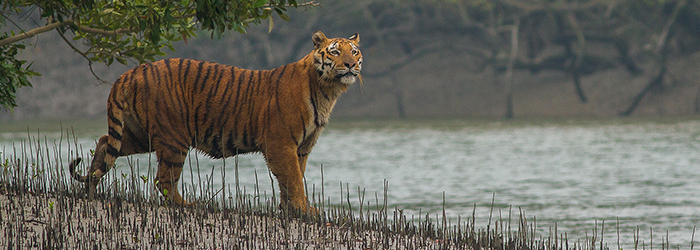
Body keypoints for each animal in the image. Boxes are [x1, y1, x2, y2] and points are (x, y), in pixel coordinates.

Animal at [68, 29, 364, 213]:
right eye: (335, 52)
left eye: (355, 52)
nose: (351, 65)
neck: (327, 90)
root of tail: (131, 72)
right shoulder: (281, 144)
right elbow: (293, 179)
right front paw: (304, 210)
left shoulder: (301, 147)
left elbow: (291, 179)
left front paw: (291, 210)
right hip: (174, 138)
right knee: (164, 180)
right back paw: (188, 206)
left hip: (140, 134)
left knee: (105, 143)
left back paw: (90, 190)